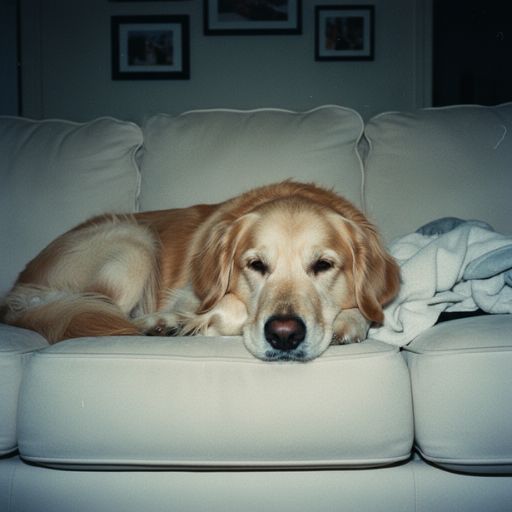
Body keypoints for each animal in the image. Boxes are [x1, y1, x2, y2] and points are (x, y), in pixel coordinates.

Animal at [1, 181, 400, 361]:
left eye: (323, 265)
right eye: (256, 265)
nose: (284, 336)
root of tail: (17, 289)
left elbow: (365, 311)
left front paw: (349, 322)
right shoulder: (193, 293)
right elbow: (225, 308)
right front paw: (180, 321)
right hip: (134, 240)